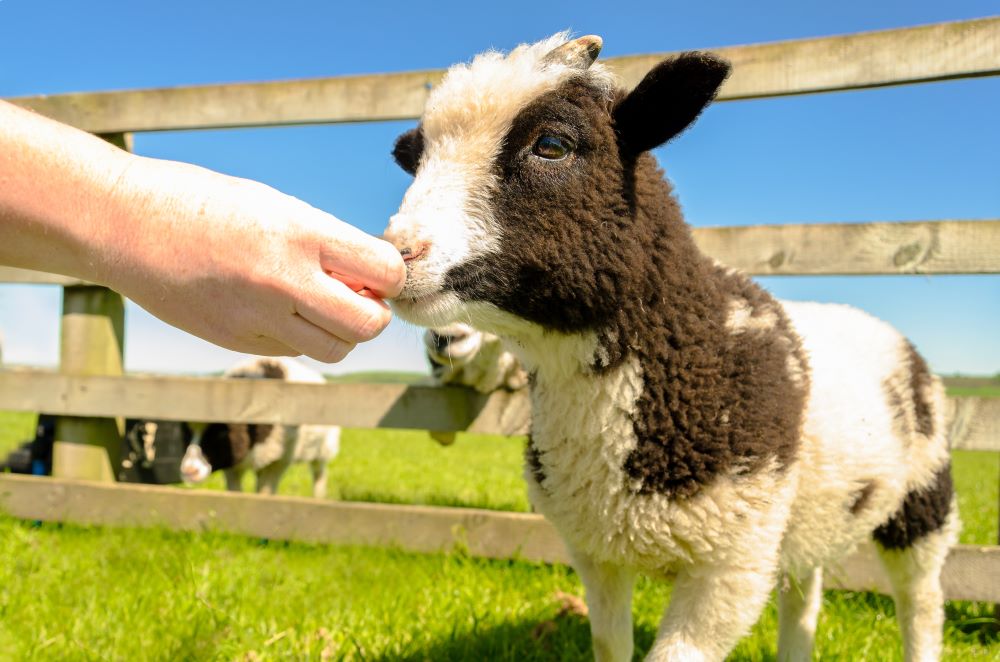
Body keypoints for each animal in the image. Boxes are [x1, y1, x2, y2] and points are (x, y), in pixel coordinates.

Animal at [184, 358, 344, 498]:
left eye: (221, 433)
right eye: (188, 433)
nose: (189, 471)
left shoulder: (278, 462)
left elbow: (264, 493)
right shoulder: (233, 463)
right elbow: (235, 492)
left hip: (322, 449)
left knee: (319, 473)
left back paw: (319, 497)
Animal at [384, 35, 960, 662]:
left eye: (553, 145)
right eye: (416, 158)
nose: (398, 252)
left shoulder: (731, 564)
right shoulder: (597, 552)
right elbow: (610, 645)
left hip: (923, 498)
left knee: (921, 602)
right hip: (812, 518)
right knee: (803, 596)